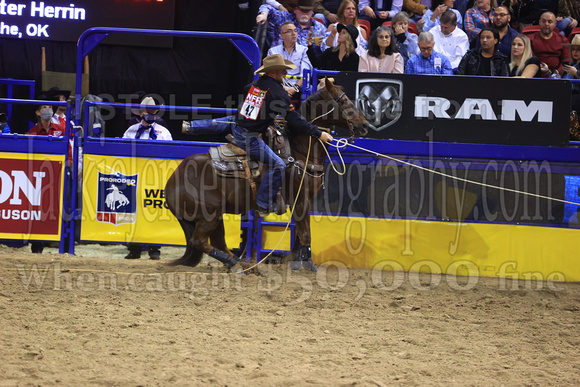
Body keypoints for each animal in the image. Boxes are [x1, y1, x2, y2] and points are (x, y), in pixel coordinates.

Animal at [165, 78, 370, 272]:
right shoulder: (300, 198)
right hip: (208, 216)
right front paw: (309, 265)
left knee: (217, 241)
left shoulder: (304, 202)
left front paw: (297, 260)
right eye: (344, 101)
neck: (300, 150)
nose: (365, 124)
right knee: (198, 241)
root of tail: (172, 181)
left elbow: (300, 232)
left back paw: (237, 264)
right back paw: (235, 263)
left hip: (214, 216)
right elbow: (306, 233)